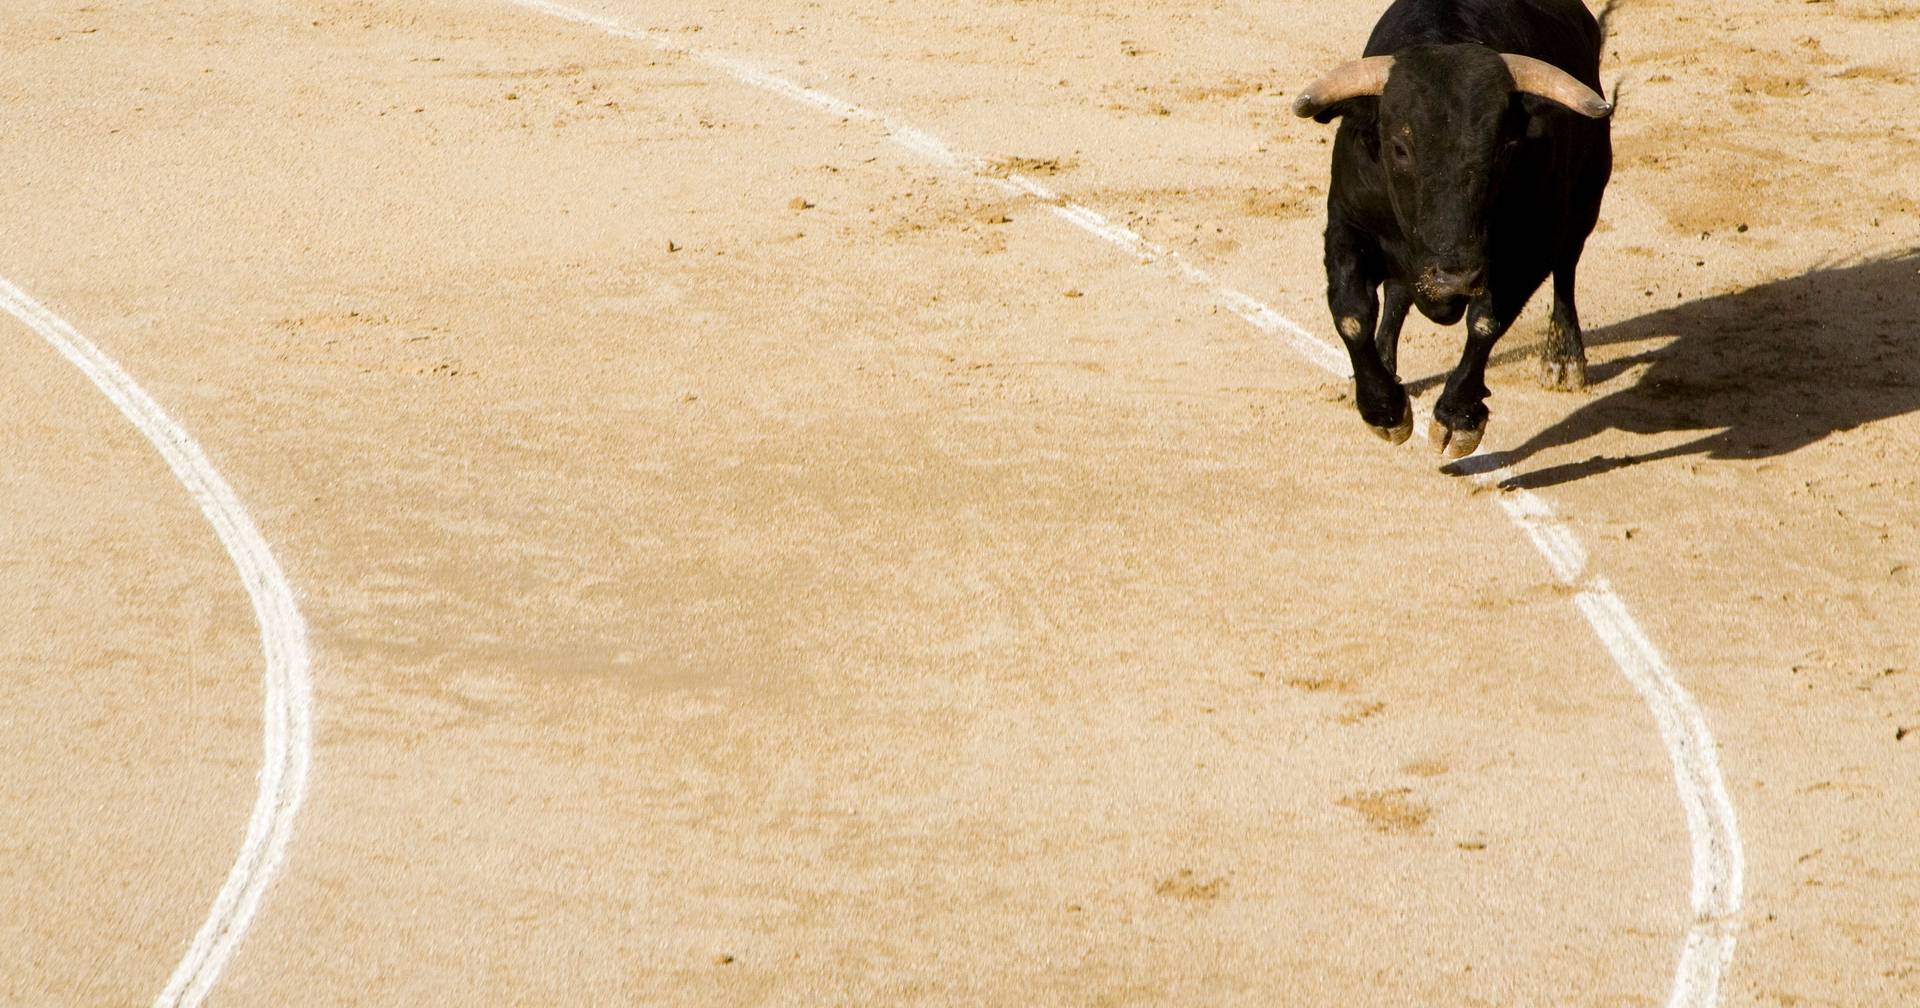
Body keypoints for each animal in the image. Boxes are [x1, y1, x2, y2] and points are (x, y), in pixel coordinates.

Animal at [1297, 0, 1612, 458]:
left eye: (1505, 148)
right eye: (1399, 147)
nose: (1455, 277)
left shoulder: (1529, 245)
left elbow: (1486, 322)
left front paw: (1457, 419)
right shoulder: (1346, 223)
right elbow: (1353, 314)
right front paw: (1384, 409)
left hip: (1587, 197)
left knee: (1566, 269)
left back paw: (1564, 359)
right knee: (1398, 291)